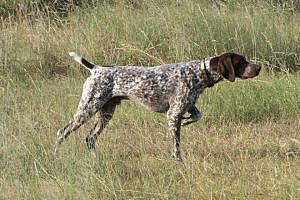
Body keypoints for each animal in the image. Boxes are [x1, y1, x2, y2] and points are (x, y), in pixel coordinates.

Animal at [55, 52, 262, 161]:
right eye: (242, 62)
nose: (258, 67)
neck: (199, 73)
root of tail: (96, 68)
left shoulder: (187, 106)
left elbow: (197, 115)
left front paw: (187, 122)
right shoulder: (173, 114)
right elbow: (176, 146)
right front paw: (179, 162)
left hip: (105, 112)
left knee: (90, 138)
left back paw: (95, 158)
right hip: (87, 109)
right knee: (62, 132)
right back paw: (55, 155)